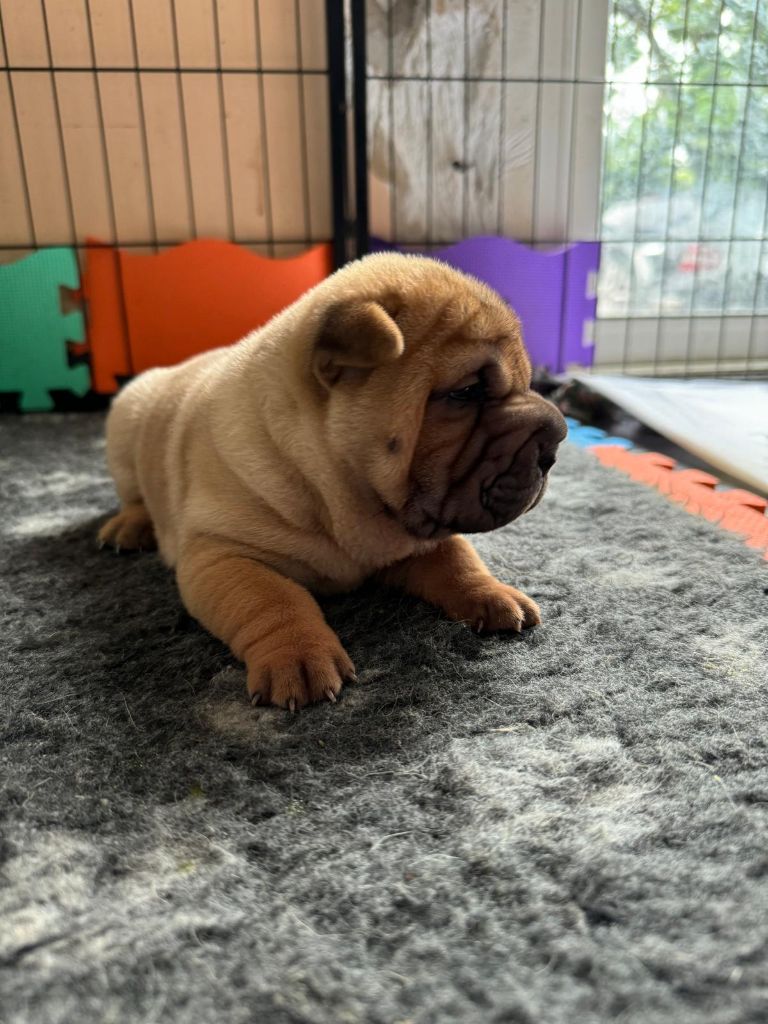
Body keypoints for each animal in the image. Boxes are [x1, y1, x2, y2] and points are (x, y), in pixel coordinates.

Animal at [99, 253, 566, 709]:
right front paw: (298, 655)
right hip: (125, 433)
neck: (338, 496)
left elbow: (457, 559)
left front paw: (494, 594)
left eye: (531, 383)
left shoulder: (416, 534)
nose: (557, 439)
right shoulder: (222, 553)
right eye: (466, 393)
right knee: (133, 495)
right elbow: (272, 596)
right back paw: (128, 527)